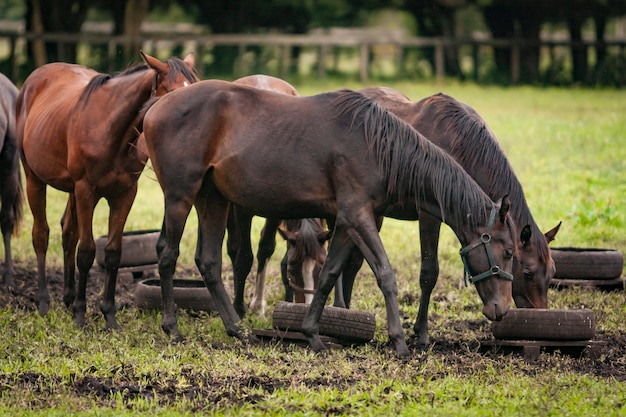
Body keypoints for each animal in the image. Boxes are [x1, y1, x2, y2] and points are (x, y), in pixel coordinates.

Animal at [15, 52, 196, 326]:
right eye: (173, 96)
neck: (112, 131)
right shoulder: (86, 191)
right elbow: (87, 251)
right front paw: (80, 314)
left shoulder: (124, 194)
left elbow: (112, 252)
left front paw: (109, 314)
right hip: (34, 179)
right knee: (41, 236)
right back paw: (45, 301)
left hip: (71, 190)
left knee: (68, 232)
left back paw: (68, 297)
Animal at [144, 79, 516, 356]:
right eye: (509, 252)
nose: (502, 309)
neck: (377, 146)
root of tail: (157, 106)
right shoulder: (359, 217)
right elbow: (385, 274)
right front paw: (399, 341)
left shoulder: (349, 223)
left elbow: (329, 274)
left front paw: (313, 335)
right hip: (180, 197)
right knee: (168, 255)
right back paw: (172, 328)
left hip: (213, 200)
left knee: (208, 261)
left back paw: (237, 329)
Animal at [356, 85, 560, 344]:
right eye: (527, 272)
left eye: (552, 273)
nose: (544, 319)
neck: (458, 141)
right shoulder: (429, 217)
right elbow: (429, 273)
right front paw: (422, 333)